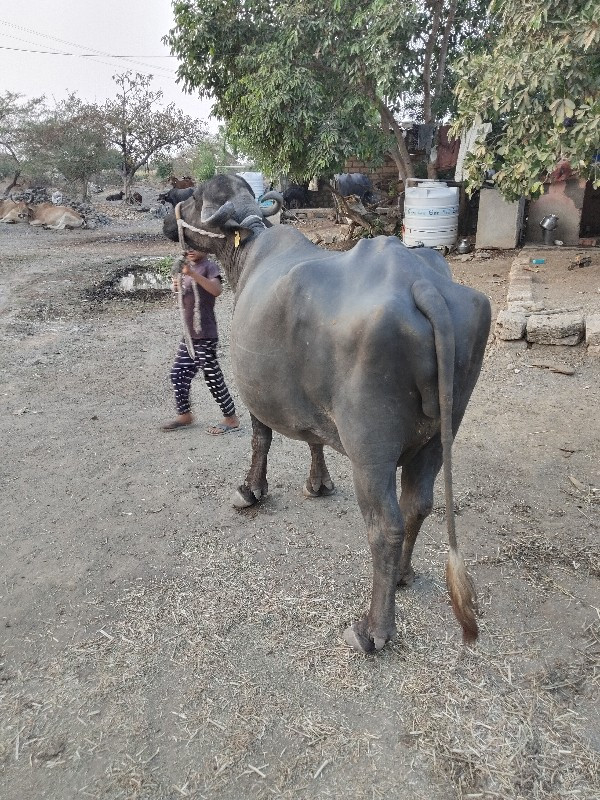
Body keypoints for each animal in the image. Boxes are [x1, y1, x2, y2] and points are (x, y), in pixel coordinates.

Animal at [164, 172, 492, 652]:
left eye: (191, 198)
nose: (167, 219)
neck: (247, 254)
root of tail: (421, 284)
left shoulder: (256, 393)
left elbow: (260, 439)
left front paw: (250, 490)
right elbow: (312, 438)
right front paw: (318, 483)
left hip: (370, 450)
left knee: (385, 525)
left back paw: (373, 629)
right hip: (440, 433)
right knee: (418, 503)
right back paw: (402, 576)